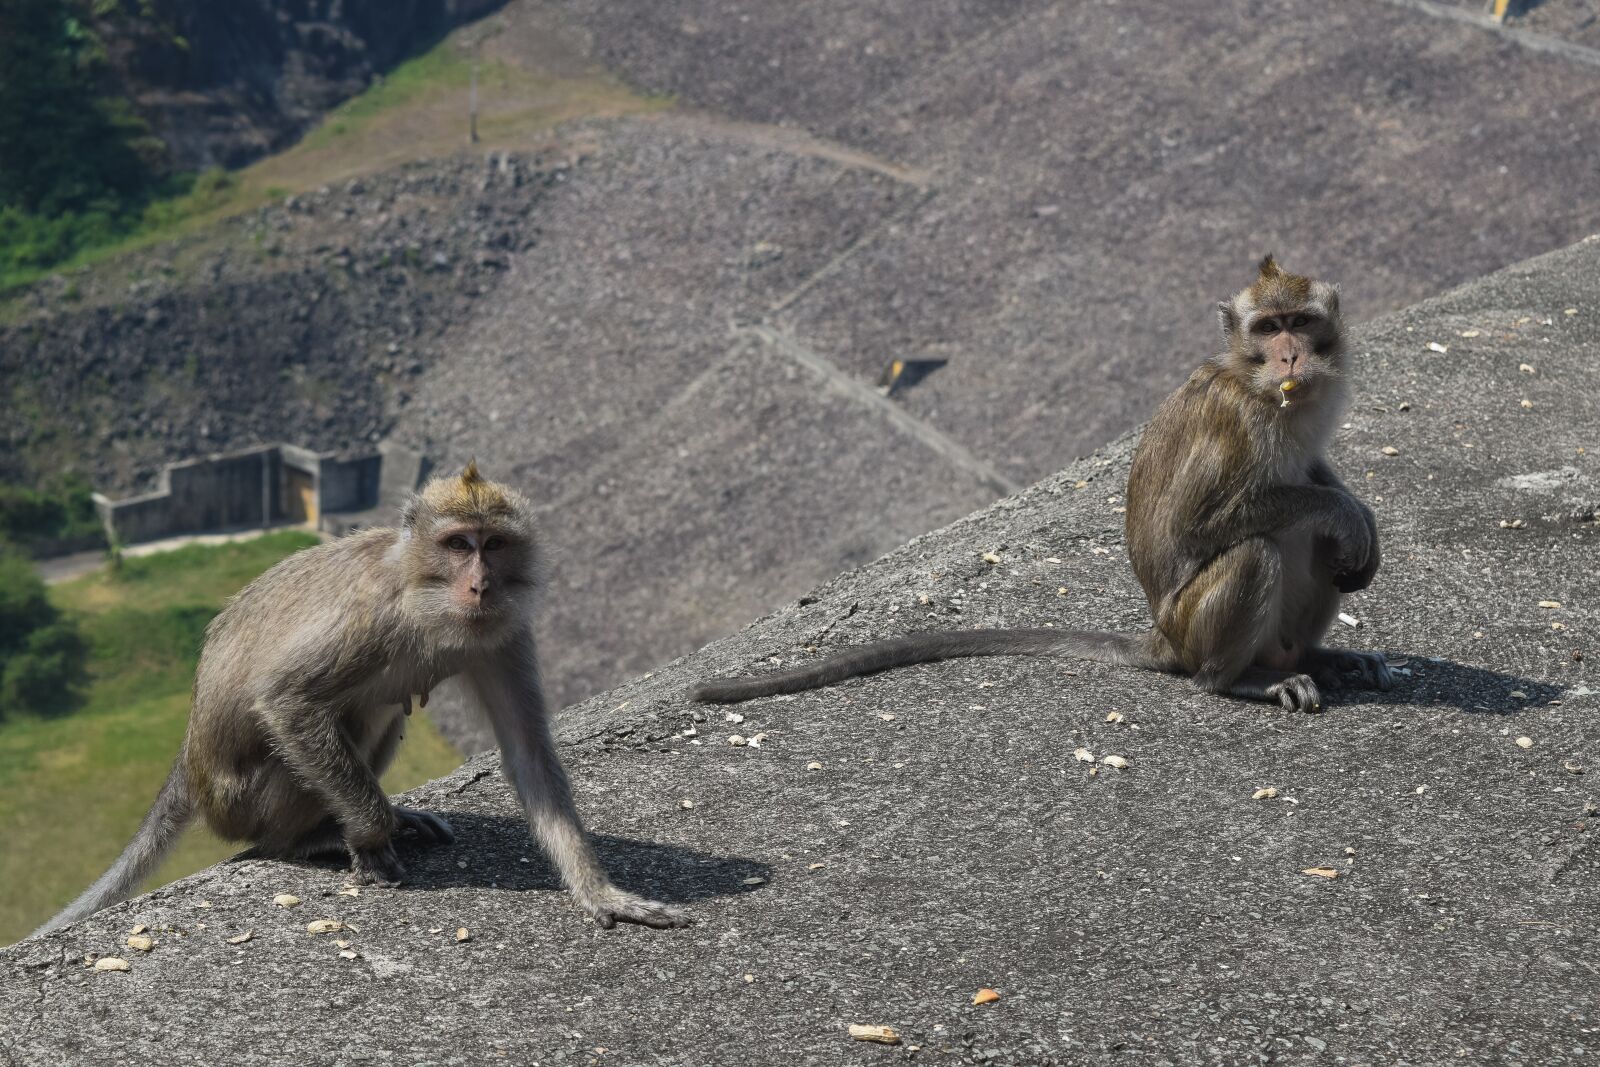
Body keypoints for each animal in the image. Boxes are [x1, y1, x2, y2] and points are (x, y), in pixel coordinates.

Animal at [34, 463, 687, 937]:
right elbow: (288, 701)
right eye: (458, 544)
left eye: (495, 544)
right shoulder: (374, 617)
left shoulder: (505, 633)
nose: (480, 585)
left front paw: (600, 891)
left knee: (380, 714)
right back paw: (308, 839)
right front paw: (372, 836)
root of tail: (191, 762)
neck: (428, 599)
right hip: (242, 802)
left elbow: (527, 752)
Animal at [691, 257, 1391, 713]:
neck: (1268, 392)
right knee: (1258, 549)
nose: (1291, 356)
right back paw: (1239, 679)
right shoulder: (1237, 420)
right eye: (1267, 329)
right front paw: (1344, 512)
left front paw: (1362, 519)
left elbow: (1315, 480)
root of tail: (1162, 639)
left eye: (1299, 321)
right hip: (1192, 629)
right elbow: (1203, 523)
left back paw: (1316, 657)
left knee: (1315, 549)